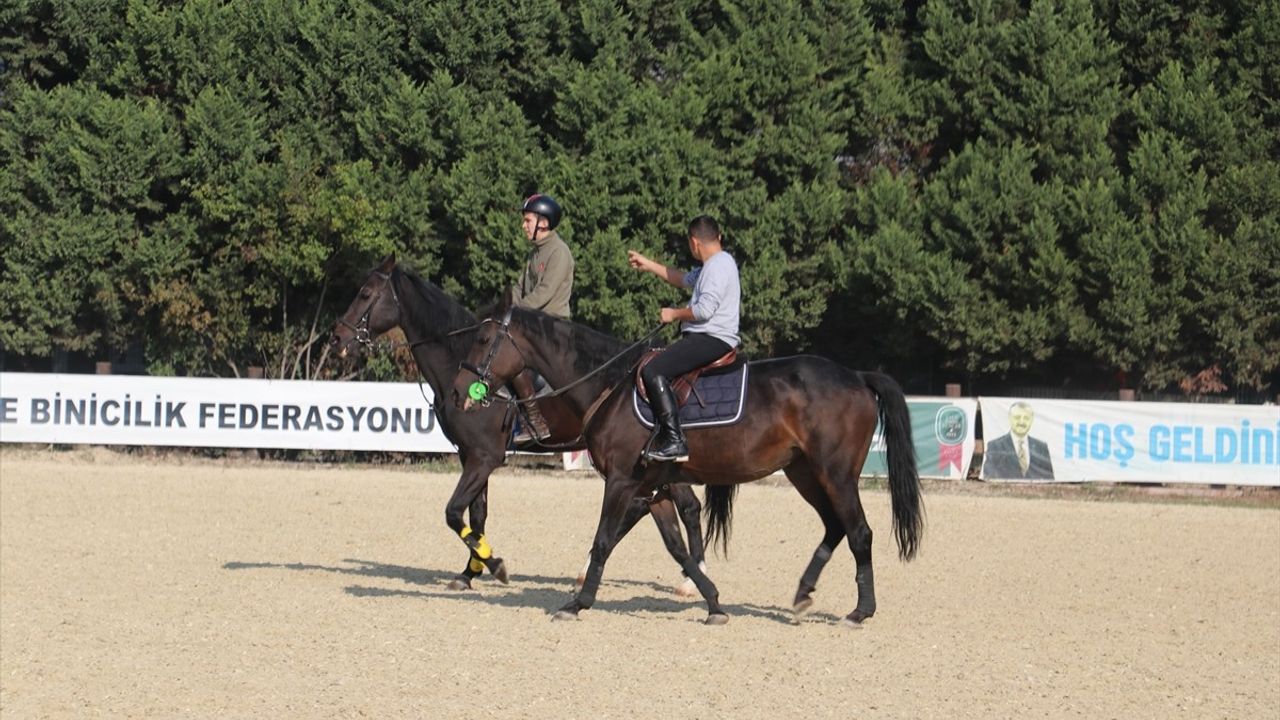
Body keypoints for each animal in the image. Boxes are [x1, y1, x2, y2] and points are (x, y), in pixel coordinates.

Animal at [330, 254, 706, 591]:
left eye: (365, 294)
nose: (336, 339)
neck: (461, 360)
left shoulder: (484, 458)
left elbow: (454, 512)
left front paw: (494, 564)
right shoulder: (470, 456)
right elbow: (477, 515)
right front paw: (470, 571)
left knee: (684, 507)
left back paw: (689, 579)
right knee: (669, 506)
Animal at [455, 304, 926, 625]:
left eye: (484, 340)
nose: (461, 388)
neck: (610, 384)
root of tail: (857, 376)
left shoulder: (622, 481)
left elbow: (604, 539)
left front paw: (578, 603)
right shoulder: (653, 489)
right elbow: (677, 547)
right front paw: (713, 602)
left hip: (836, 474)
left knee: (859, 532)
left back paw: (860, 611)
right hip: (805, 473)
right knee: (835, 527)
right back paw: (803, 592)